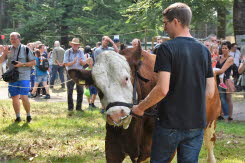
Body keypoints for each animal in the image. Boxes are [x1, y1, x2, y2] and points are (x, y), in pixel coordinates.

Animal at [68, 45, 220, 163]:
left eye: (126, 78)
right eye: (97, 86)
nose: (116, 115)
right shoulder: (112, 148)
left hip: (210, 124)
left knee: (210, 149)